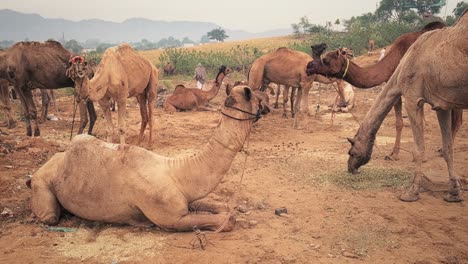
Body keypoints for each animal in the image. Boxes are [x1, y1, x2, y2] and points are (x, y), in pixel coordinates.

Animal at [28, 84, 270, 231]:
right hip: (42, 185)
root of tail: (36, 172)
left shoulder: (187, 198)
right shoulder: (171, 218)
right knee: (49, 216)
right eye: (258, 99)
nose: (267, 108)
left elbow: (223, 208)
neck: (177, 172)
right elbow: (228, 220)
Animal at [306, 21, 462, 161]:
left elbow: (418, 122)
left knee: (457, 119)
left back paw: (444, 150)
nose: (309, 66)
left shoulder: (414, 89)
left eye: (326, 60)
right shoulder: (394, 87)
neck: (394, 60)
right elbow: (399, 122)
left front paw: (418, 157)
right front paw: (393, 154)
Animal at [348, 9, 468, 201]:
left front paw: (411, 192)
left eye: (352, 152)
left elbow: (419, 149)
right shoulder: (441, 105)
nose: (350, 168)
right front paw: (454, 193)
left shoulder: (413, 98)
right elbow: (448, 148)